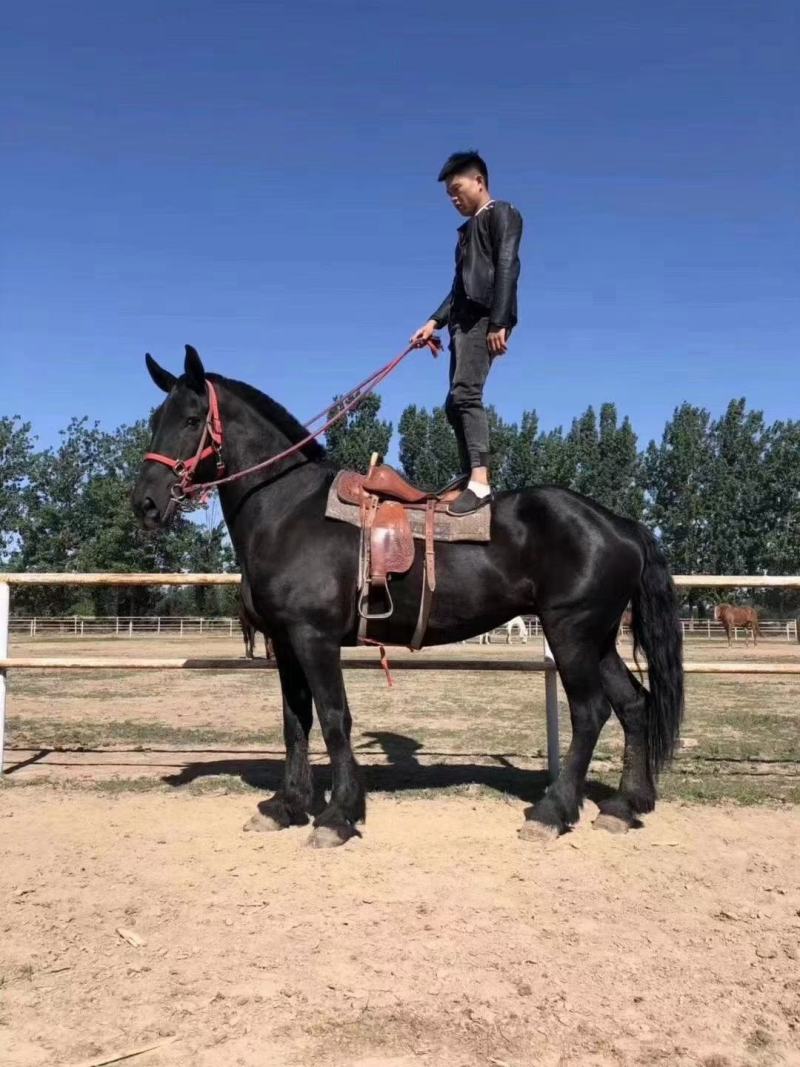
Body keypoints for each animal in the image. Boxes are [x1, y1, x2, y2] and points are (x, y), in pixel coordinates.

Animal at [132, 346, 684, 847]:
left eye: (191, 419)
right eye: (155, 419)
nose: (145, 504)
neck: (287, 510)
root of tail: (621, 524)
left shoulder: (314, 639)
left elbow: (334, 719)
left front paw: (338, 814)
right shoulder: (286, 645)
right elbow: (295, 723)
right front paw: (286, 806)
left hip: (571, 632)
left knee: (590, 713)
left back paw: (553, 812)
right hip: (598, 638)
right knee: (634, 704)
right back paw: (625, 804)